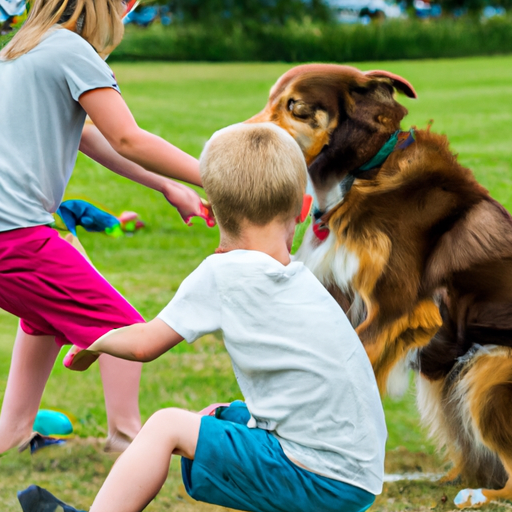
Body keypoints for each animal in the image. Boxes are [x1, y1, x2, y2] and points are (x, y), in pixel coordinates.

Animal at [246, 64, 512, 508]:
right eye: (269, 101)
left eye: (296, 107)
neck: (362, 176)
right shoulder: (339, 297)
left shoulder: (394, 310)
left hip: (487, 372)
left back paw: (477, 494)